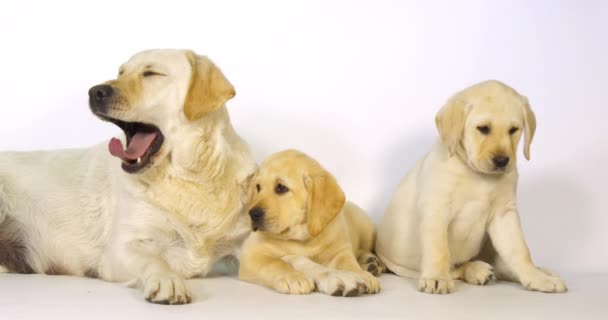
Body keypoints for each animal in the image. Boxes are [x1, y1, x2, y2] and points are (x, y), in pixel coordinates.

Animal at [0, 48, 254, 304]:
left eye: (151, 73)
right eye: (121, 72)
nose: (95, 91)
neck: (190, 178)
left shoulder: (245, 242)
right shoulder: (121, 248)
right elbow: (154, 259)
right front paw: (168, 280)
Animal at [240, 150, 382, 298]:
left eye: (281, 188)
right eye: (258, 187)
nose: (252, 214)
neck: (303, 239)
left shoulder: (340, 250)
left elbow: (348, 263)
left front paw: (362, 275)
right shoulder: (251, 254)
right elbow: (274, 263)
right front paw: (293, 277)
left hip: (367, 232)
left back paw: (370, 262)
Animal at [378, 80, 568, 296]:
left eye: (514, 130)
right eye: (483, 128)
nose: (502, 161)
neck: (478, 175)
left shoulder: (504, 214)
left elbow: (519, 250)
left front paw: (536, 278)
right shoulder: (436, 210)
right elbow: (439, 249)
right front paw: (436, 277)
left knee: (500, 266)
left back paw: (539, 272)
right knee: (455, 268)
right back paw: (476, 270)